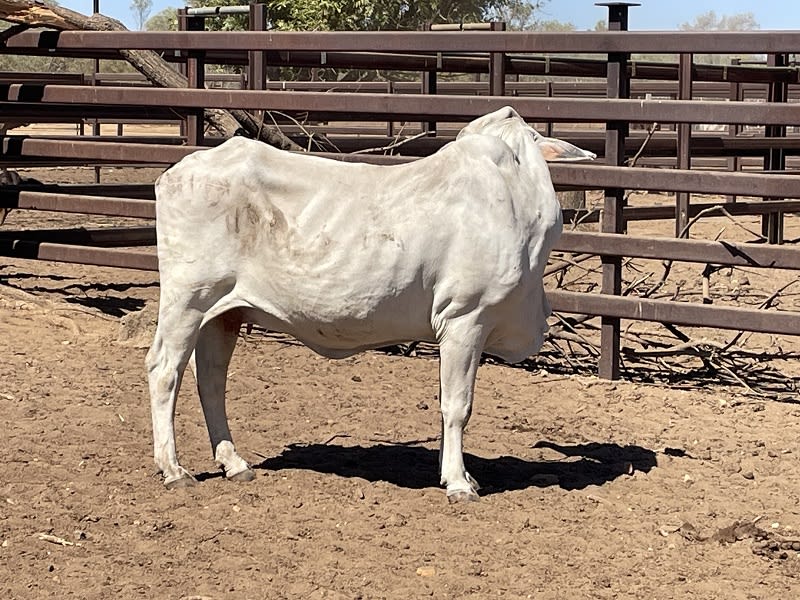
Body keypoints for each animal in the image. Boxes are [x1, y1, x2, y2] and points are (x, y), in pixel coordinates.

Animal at [146, 106, 595, 502]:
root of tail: (177, 172)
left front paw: (462, 474)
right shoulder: (466, 319)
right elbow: (456, 406)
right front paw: (458, 482)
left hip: (223, 312)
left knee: (211, 378)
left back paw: (234, 463)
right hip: (187, 299)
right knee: (165, 370)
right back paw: (173, 470)